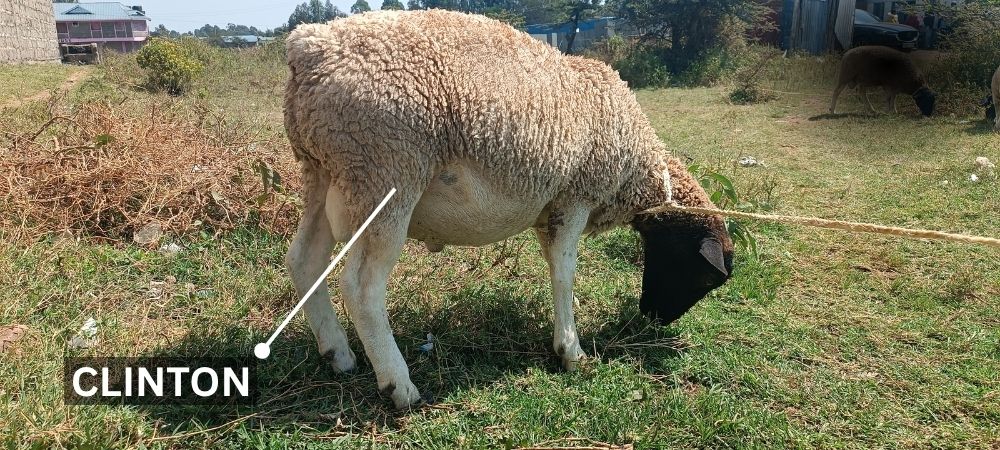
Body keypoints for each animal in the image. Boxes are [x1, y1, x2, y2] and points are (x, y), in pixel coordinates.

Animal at [283, 10, 734, 409]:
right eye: (706, 278)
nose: (655, 318)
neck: (637, 169)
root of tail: (307, 49)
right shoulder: (576, 195)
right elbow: (565, 272)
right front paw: (571, 351)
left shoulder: (550, 208)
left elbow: (554, 266)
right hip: (384, 171)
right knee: (360, 286)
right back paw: (399, 386)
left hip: (323, 171)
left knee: (304, 260)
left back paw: (338, 354)